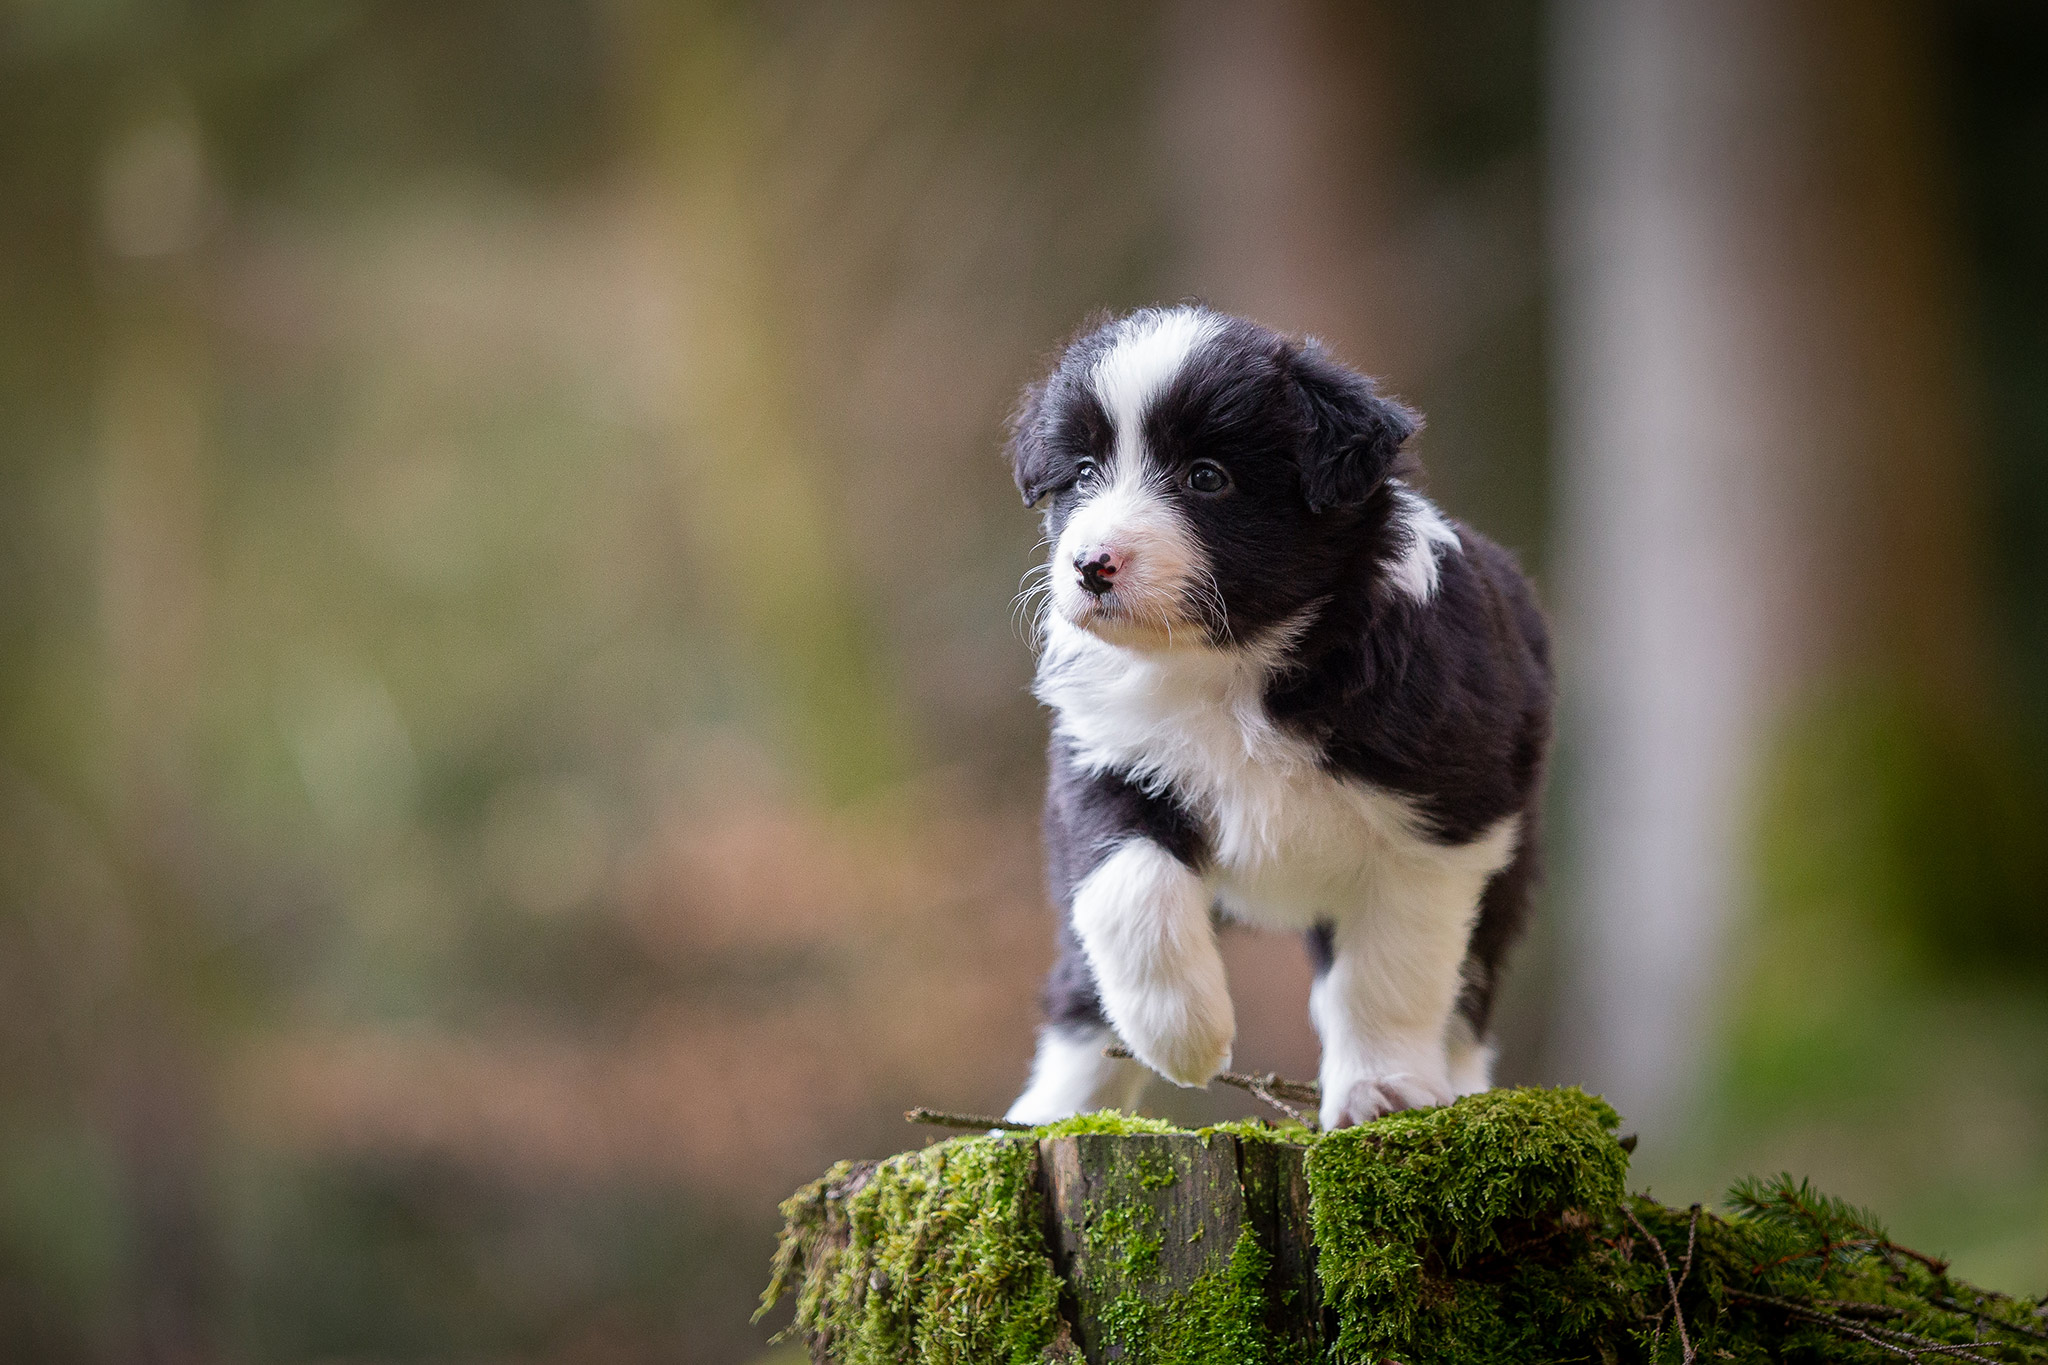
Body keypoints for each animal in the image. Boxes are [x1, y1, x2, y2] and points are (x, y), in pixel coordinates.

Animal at [999, 309, 1540, 1129]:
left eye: (1207, 477)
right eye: (1085, 472)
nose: (1091, 565)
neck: (1232, 666)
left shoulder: (1443, 817)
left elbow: (1389, 969)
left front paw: (1379, 1091)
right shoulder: (1104, 764)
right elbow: (1131, 892)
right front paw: (1186, 1039)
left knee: (1465, 989)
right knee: (1078, 986)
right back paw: (1050, 1112)